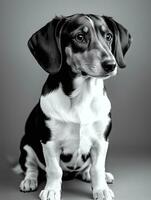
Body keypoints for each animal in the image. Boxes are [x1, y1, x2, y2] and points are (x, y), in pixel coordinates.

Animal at [17, 14, 131, 200]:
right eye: (80, 37)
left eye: (108, 36)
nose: (111, 64)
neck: (82, 97)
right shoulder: (50, 143)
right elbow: (54, 170)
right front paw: (51, 190)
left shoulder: (101, 141)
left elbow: (97, 168)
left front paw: (101, 189)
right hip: (26, 145)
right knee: (31, 167)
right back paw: (30, 180)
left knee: (90, 168)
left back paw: (93, 175)